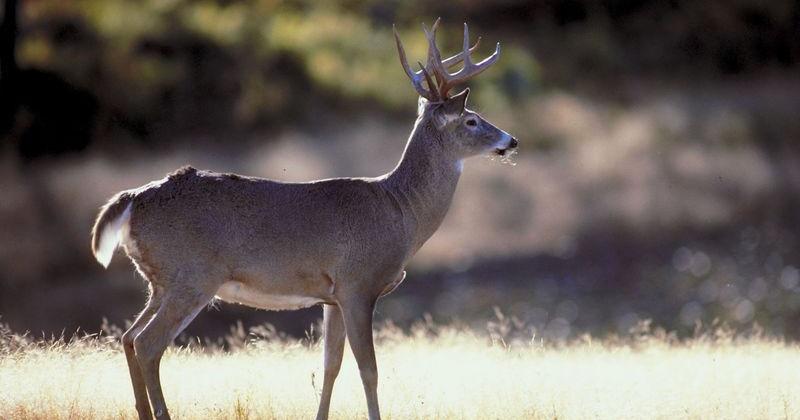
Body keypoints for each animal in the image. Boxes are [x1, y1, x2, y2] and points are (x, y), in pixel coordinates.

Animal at [90, 18, 517, 420]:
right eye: (472, 120)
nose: (511, 141)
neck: (400, 210)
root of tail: (132, 199)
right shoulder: (358, 283)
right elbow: (369, 369)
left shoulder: (332, 296)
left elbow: (330, 365)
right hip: (192, 275)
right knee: (148, 344)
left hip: (161, 281)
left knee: (128, 337)